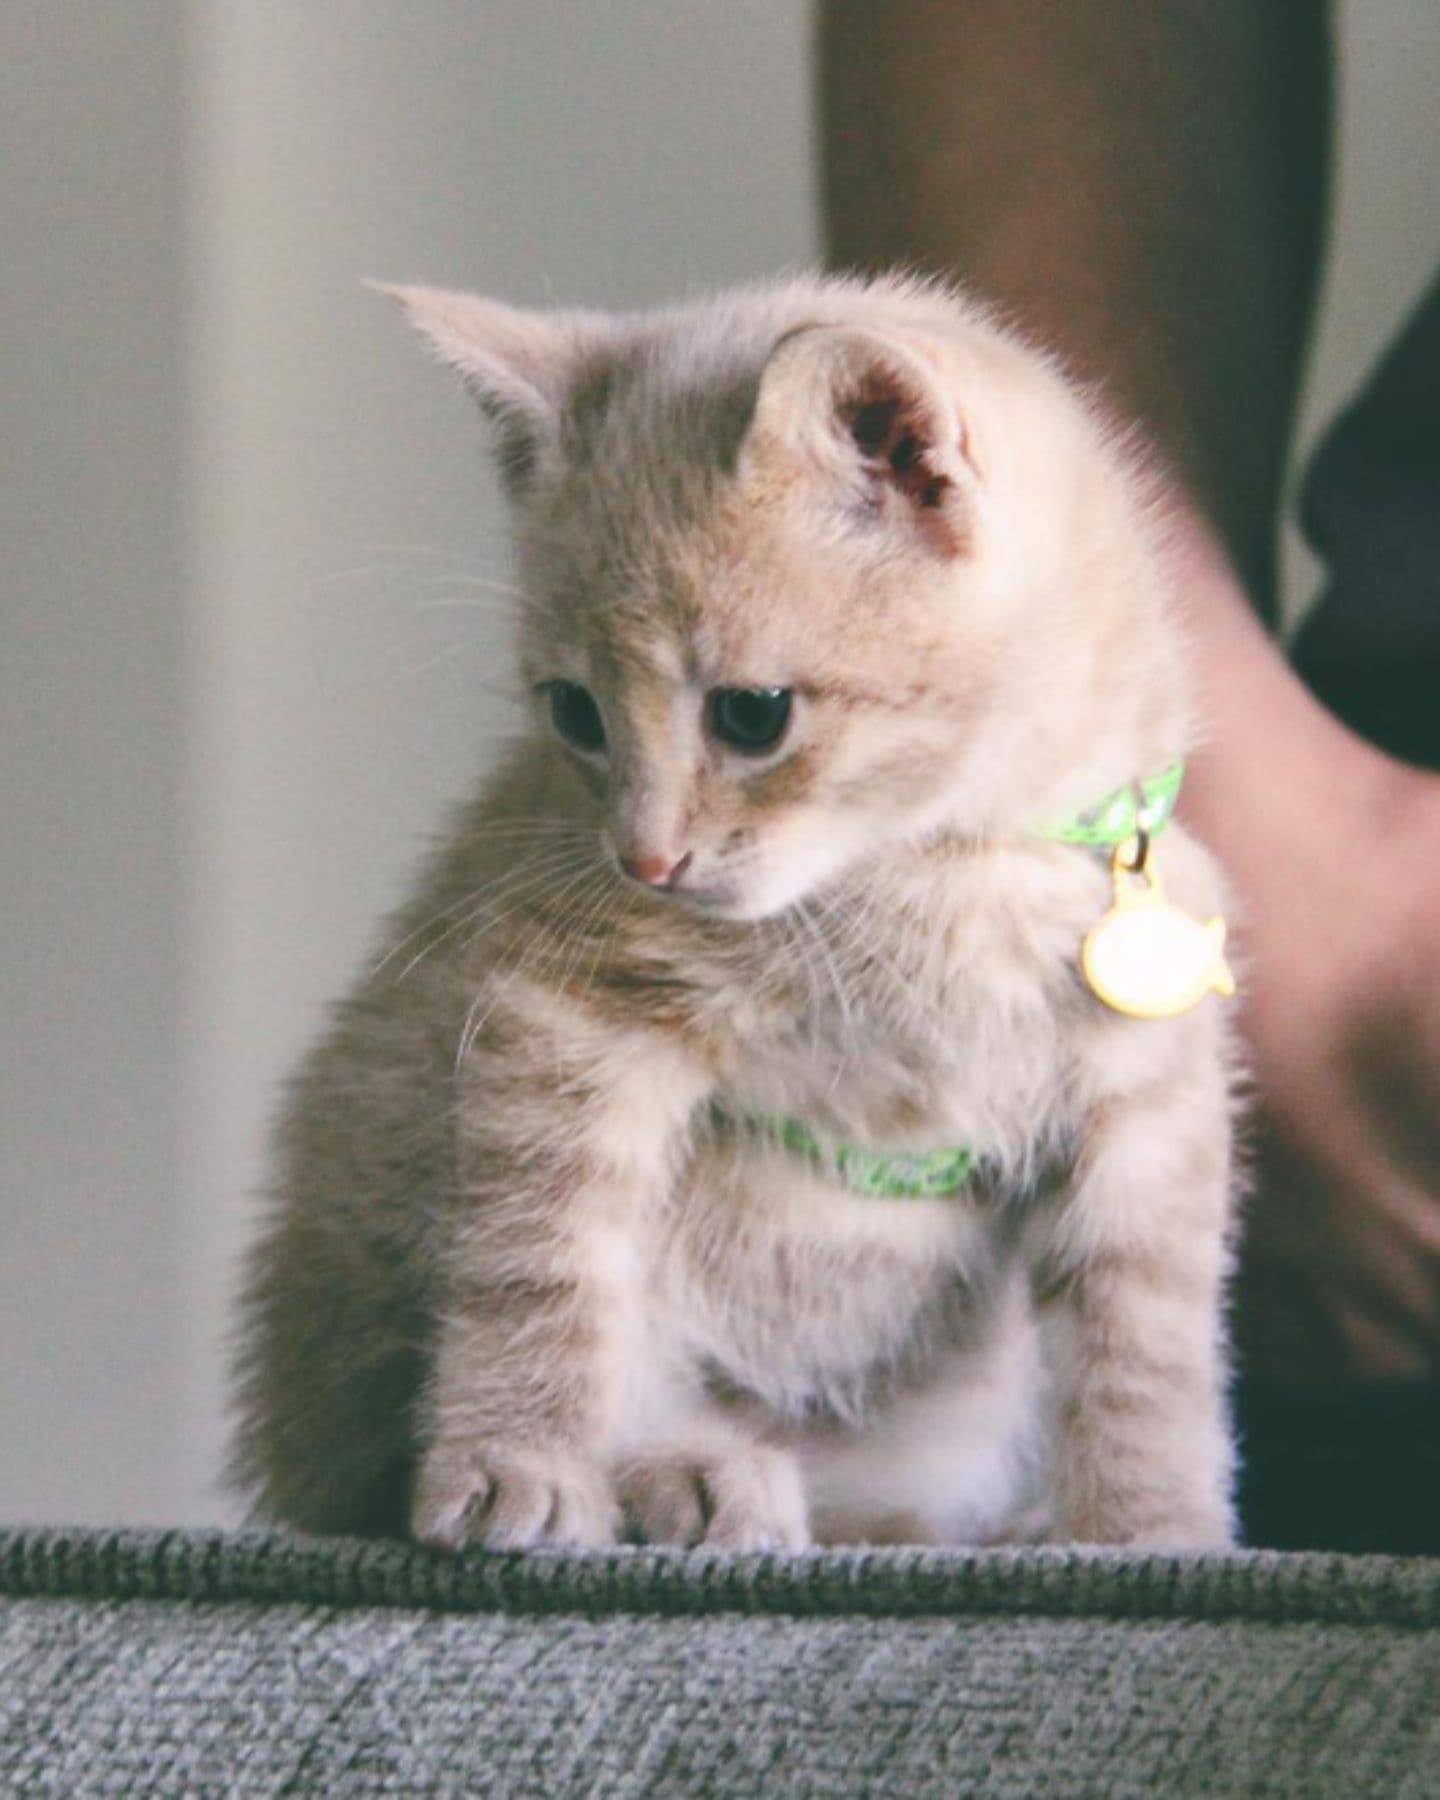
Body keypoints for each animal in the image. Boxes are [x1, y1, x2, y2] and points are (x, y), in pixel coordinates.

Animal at [230, 273, 1245, 1555]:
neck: (944, 867)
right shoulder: (562, 1009)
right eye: (574, 711)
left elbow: (1144, 1340)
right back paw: (691, 1470)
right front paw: (516, 1457)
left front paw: (1146, 1525)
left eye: (754, 715)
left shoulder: (1147, 1094)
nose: (644, 860)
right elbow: (541, 1260)